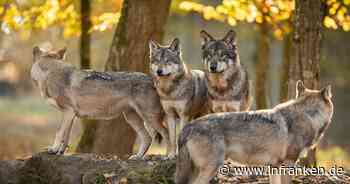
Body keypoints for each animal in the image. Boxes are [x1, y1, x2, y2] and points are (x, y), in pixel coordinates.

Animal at [30, 46, 170, 160]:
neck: (51, 74)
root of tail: (154, 80)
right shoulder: (71, 115)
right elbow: (66, 137)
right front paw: (60, 152)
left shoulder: (68, 112)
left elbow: (59, 132)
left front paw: (53, 149)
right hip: (132, 118)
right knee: (147, 138)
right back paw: (138, 157)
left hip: (149, 118)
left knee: (166, 133)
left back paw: (168, 157)